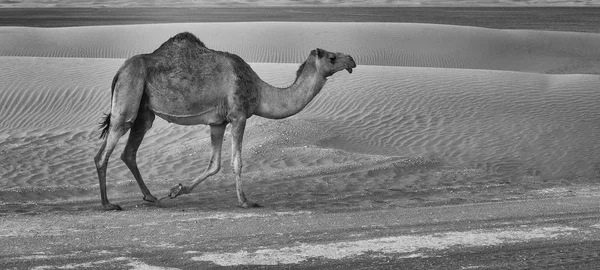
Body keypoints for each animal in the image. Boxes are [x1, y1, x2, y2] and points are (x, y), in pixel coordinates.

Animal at [94, 31, 356, 209]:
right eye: (332, 57)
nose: (352, 60)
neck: (259, 92)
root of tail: (120, 70)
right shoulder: (238, 116)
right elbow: (236, 162)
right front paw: (245, 201)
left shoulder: (217, 123)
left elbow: (215, 164)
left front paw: (176, 190)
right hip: (130, 90)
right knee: (106, 149)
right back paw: (108, 204)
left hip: (144, 110)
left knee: (129, 150)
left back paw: (150, 196)